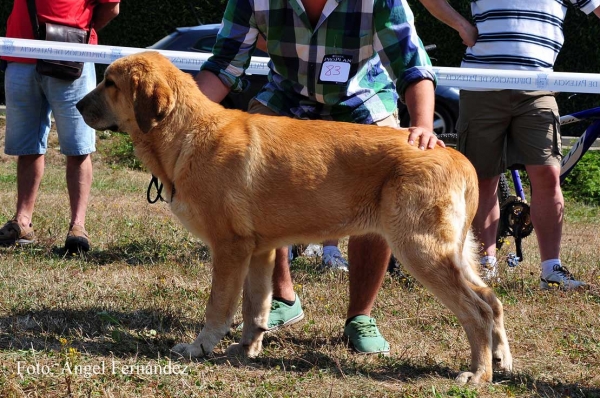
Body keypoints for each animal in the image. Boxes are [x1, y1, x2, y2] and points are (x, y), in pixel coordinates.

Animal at [77, 51, 510, 384]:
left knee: (476, 311)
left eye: (111, 83)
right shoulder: (259, 251)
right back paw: (501, 360)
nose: (78, 105)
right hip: (450, 254)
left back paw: (478, 375)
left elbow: (219, 306)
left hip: (421, 250)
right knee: (491, 299)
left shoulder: (229, 248)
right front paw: (246, 348)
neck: (187, 134)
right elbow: (255, 306)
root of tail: (455, 156)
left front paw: (200, 347)